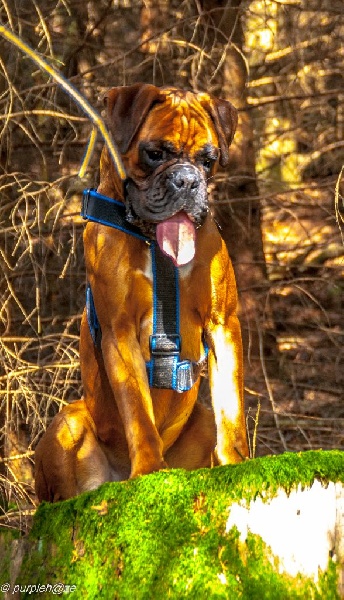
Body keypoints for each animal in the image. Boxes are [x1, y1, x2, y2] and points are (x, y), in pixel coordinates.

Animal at [35, 82, 249, 500]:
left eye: (209, 160)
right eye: (155, 154)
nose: (187, 181)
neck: (154, 245)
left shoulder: (223, 325)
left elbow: (232, 410)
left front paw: (238, 464)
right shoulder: (120, 333)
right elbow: (137, 411)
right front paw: (149, 469)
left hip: (200, 419)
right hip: (68, 422)